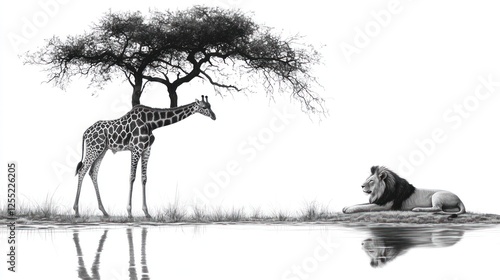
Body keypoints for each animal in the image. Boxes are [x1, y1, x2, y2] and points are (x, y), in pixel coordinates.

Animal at [73, 96, 216, 219]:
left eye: (210, 105)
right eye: (204, 107)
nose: (214, 116)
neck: (151, 123)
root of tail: (85, 132)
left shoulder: (147, 150)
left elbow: (144, 178)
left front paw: (146, 212)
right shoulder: (136, 149)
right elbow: (132, 177)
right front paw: (129, 212)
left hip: (102, 150)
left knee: (93, 172)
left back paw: (104, 211)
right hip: (94, 148)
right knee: (82, 170)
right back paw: (76, 211)